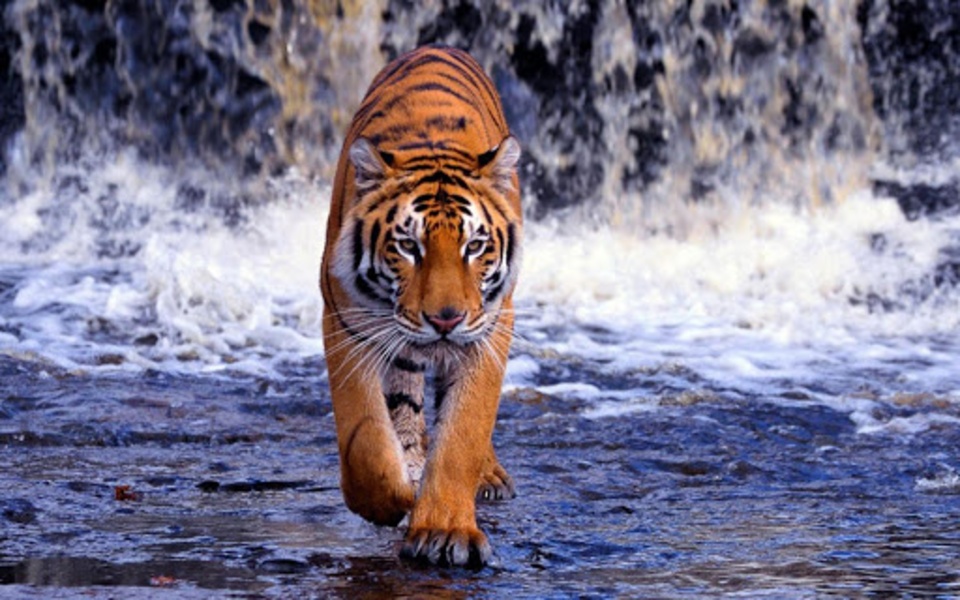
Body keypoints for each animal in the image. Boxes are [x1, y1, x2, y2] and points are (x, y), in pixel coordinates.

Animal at [319, 45, 523, 567]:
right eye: (408, 246)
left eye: (475, 246)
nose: (445, 319)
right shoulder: (347, 322)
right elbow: (366, 436)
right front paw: (390, 500)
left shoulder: (489, 329)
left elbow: (463, 432)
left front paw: (444, 530)